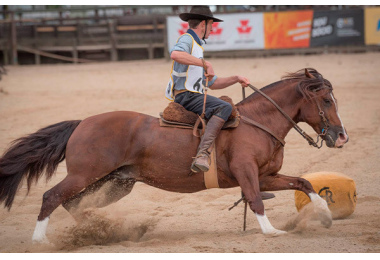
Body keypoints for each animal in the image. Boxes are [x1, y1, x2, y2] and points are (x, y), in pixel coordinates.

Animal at [0, 68, 348, 243]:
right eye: (326, 100)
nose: (341, 136)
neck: (258, 121)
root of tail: (82, 123)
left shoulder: (266, 176)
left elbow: (304, 183)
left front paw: (325, 216)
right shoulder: (247, 172)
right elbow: (255, 200)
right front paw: (270, 231)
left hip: (116, 183)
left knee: (74, 204)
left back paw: (99, 230)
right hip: (84, 175)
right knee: (52, 196)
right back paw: (40, 241)